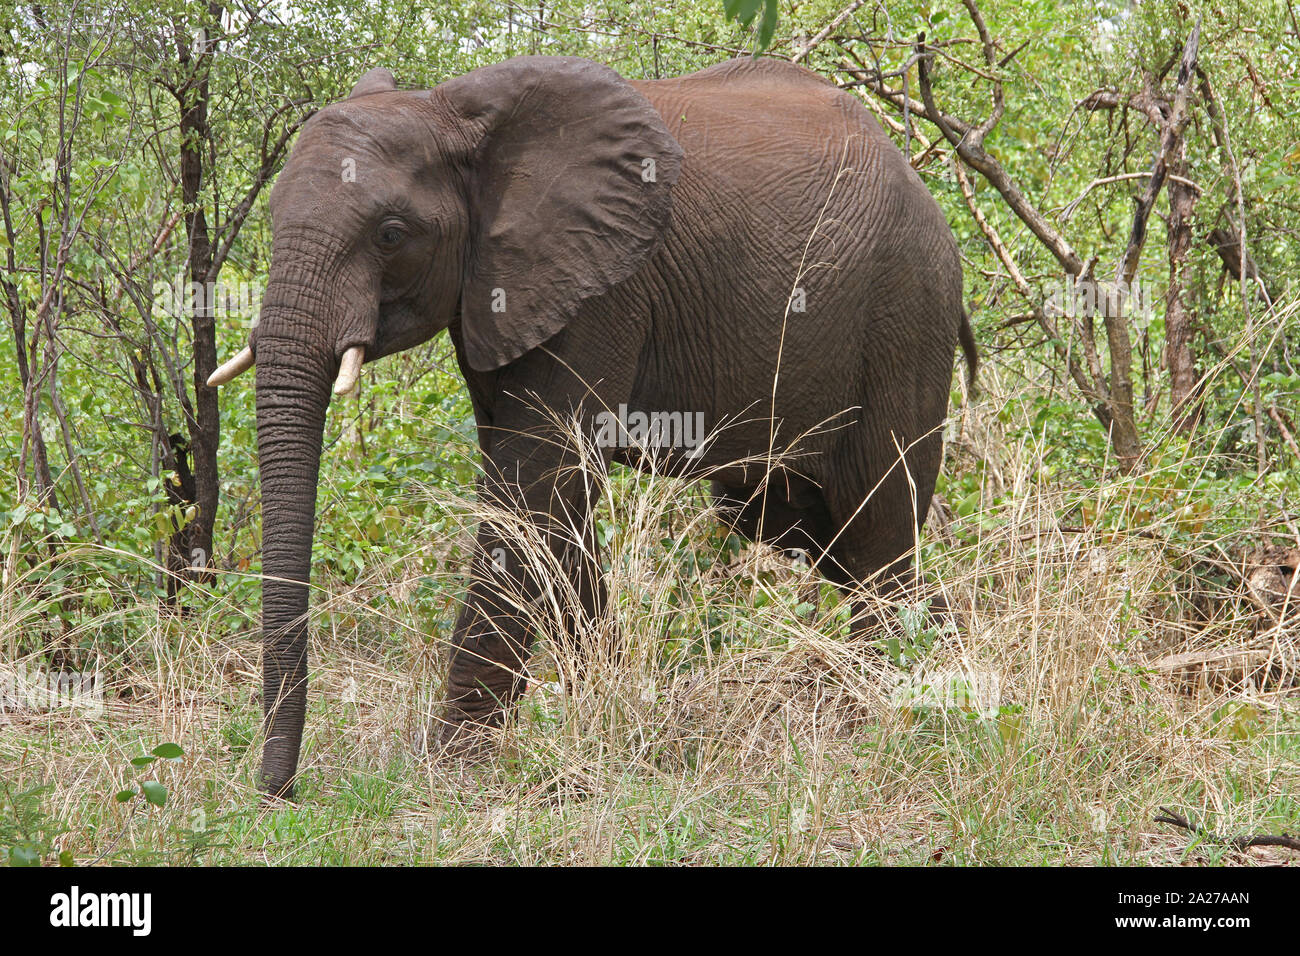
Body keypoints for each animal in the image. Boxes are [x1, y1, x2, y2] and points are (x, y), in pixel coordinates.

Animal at [208, 54, 976, 799]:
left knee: (876, 523)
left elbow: (531, 491)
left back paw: (884, 707)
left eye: (392, 234)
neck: (454, 110)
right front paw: (610, 710)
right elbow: (553, 510)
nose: (277, 792)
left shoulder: (602, 289)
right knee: (797, 521)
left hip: (906, 312)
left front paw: (450, 767)